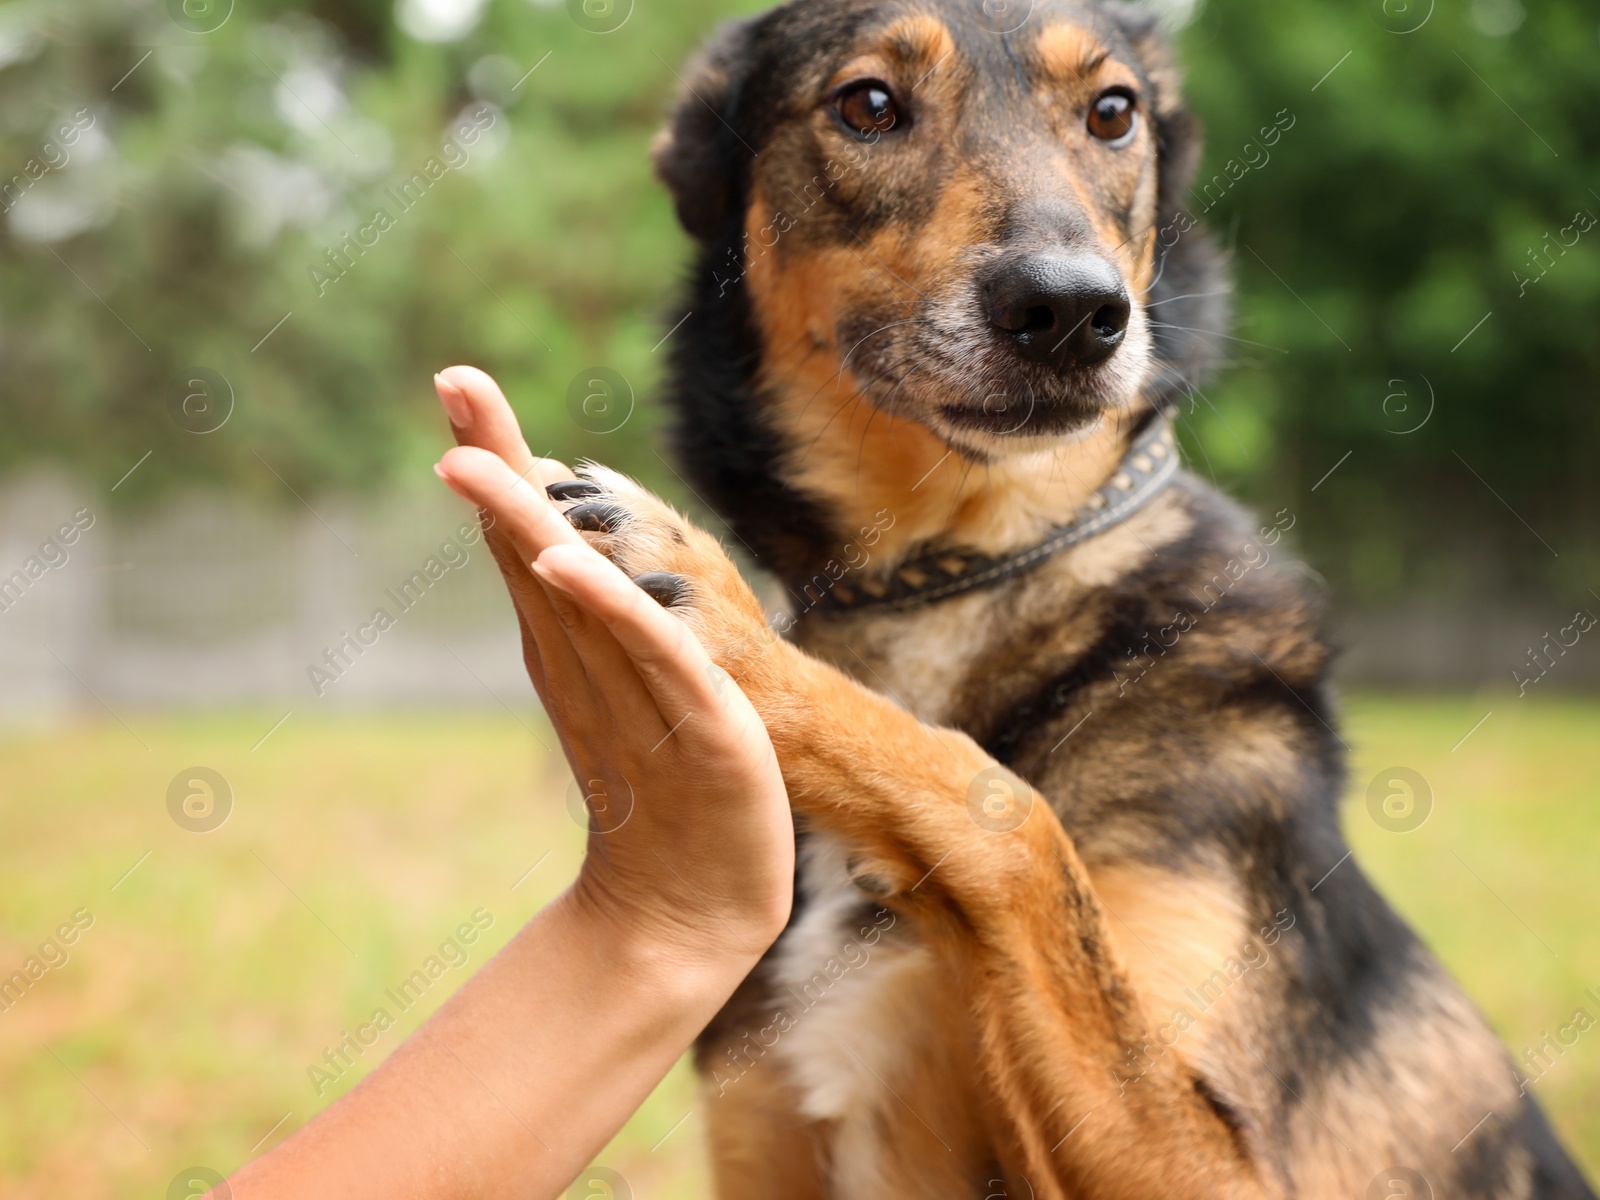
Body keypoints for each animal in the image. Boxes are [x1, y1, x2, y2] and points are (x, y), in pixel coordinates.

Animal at [547, 0, 1587, 1196]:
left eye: (1113, 112)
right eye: (867, 103)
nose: (1071, 311)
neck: (954, 570)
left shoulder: (1227, 1167)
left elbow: (1010, 813)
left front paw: (731, 624)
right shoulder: (762, 1129)